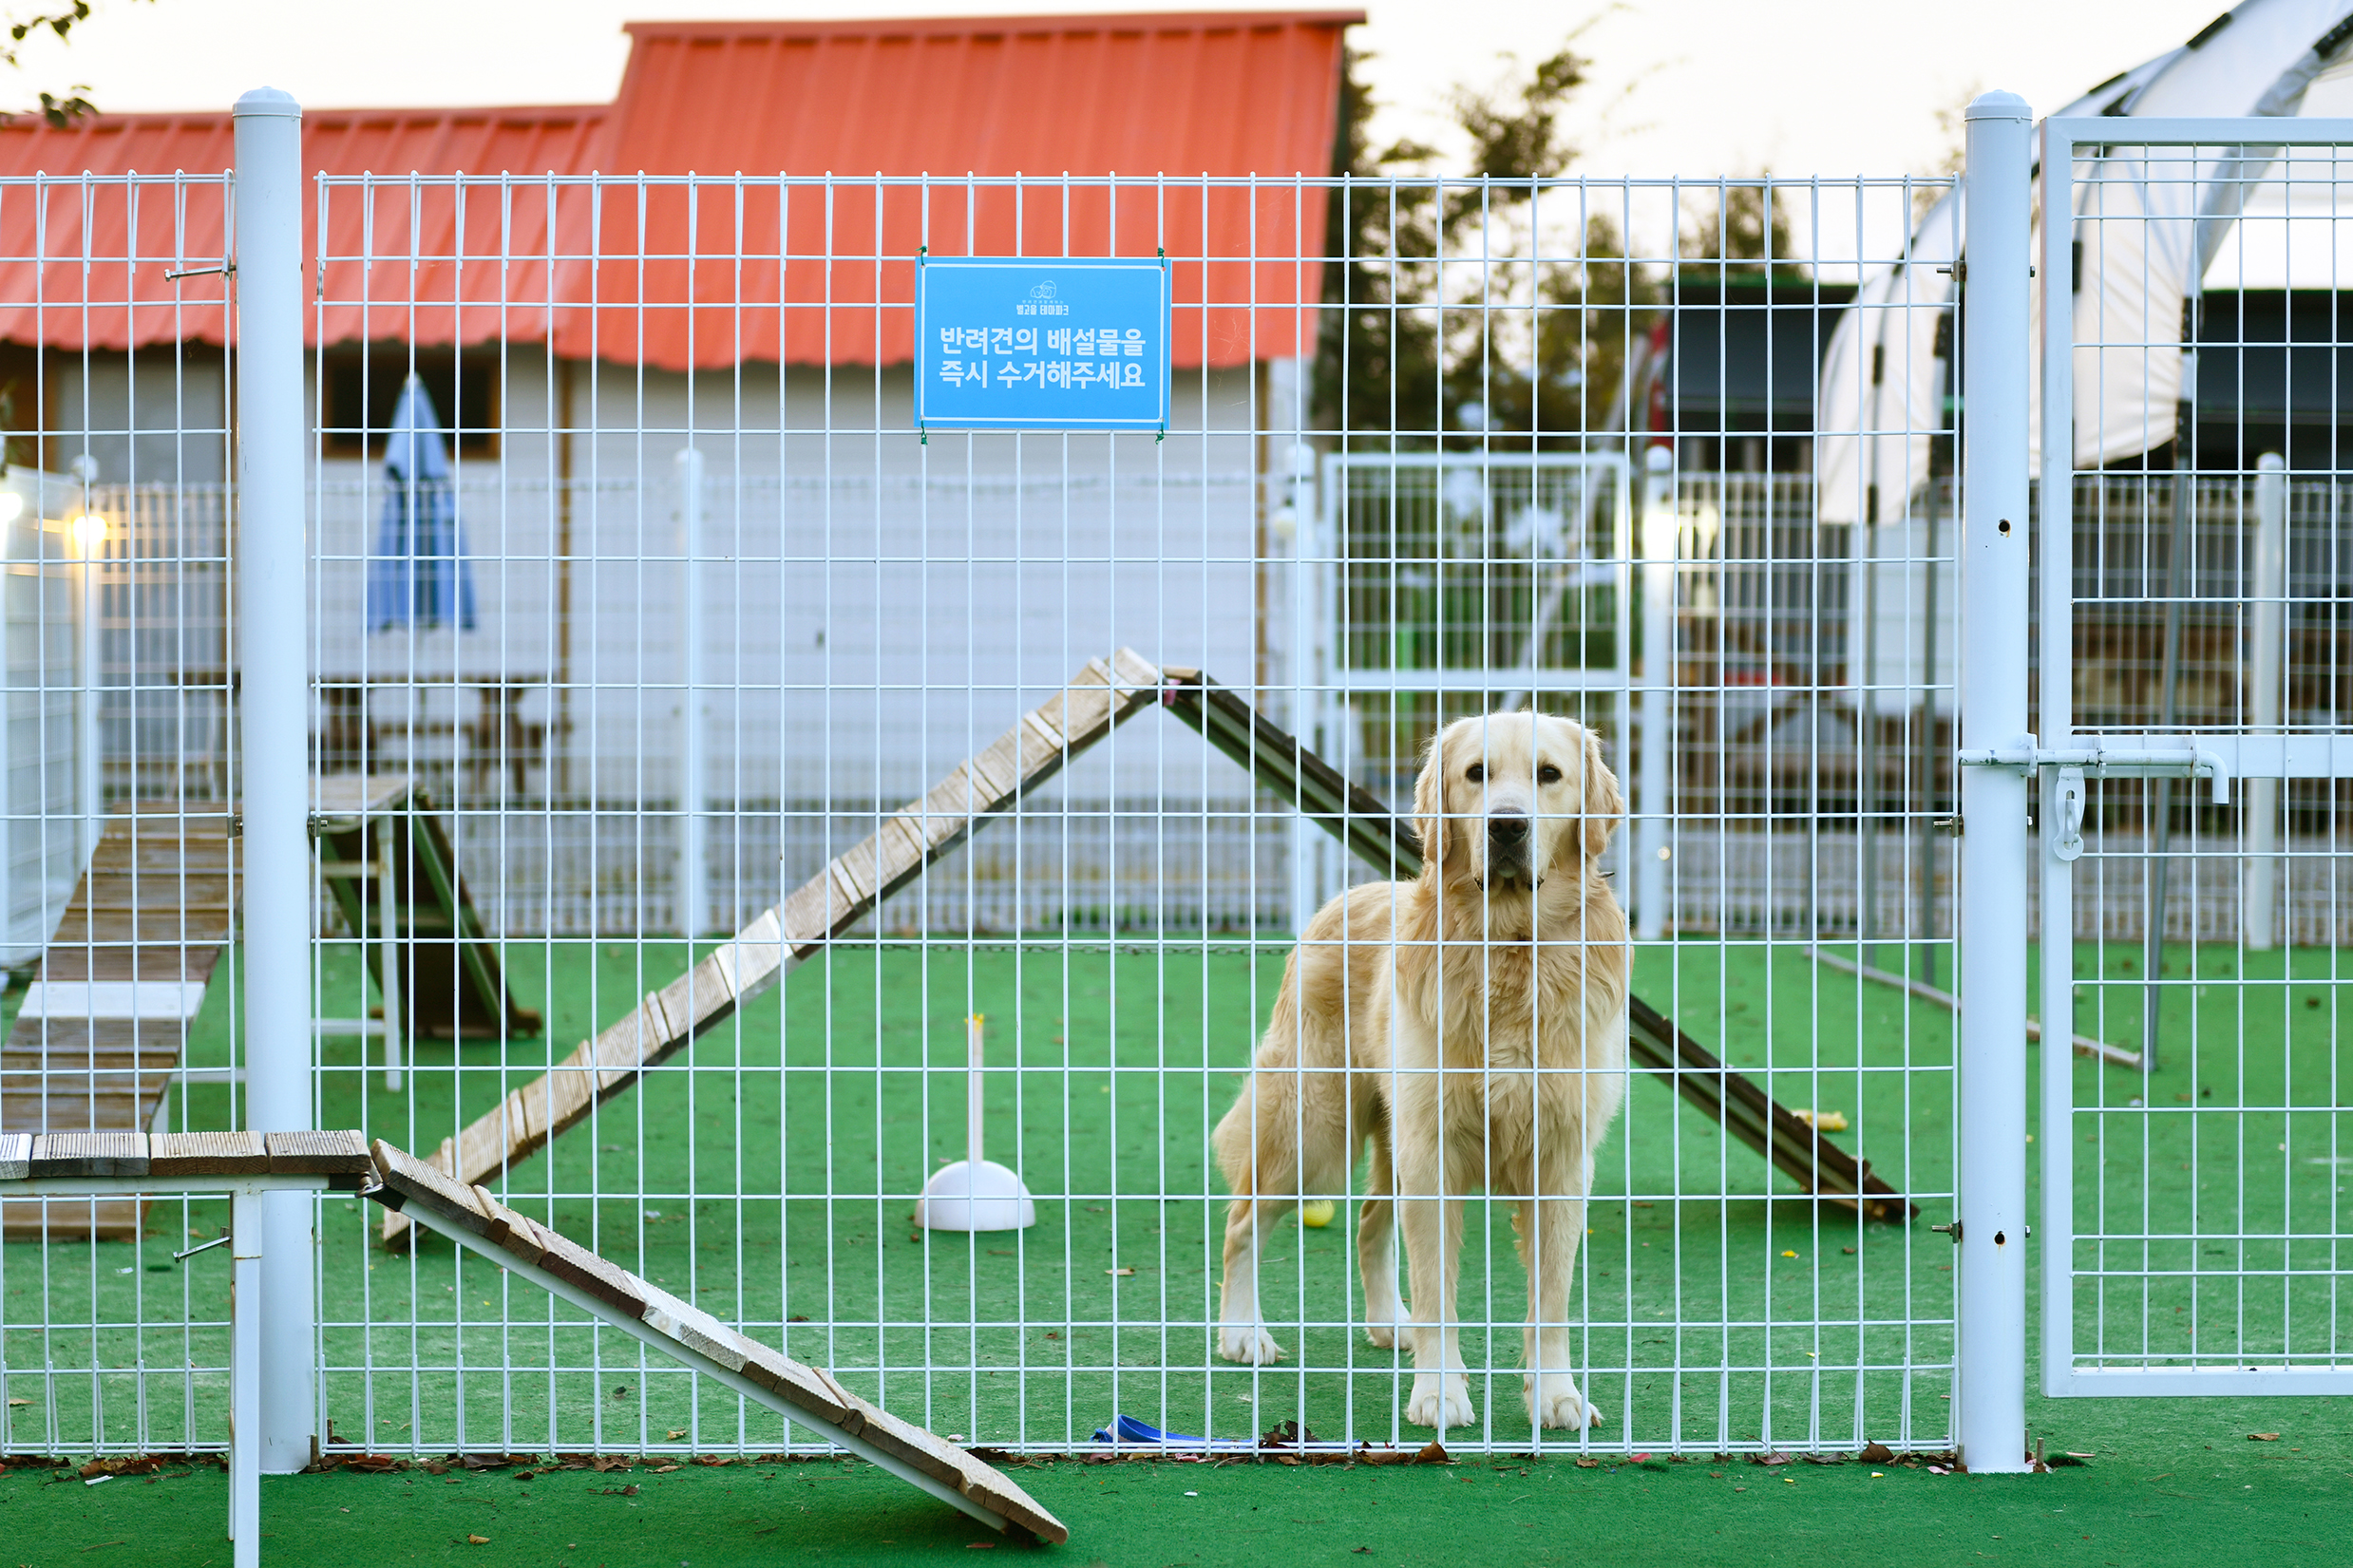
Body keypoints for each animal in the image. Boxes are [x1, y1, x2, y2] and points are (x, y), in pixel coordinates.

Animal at [1205, 709, 1628, 1438]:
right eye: (1476, 774)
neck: (1507, 948)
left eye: (1548, 774)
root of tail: (1344, 897)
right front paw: (1439, 1393)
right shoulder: (1434, 1154)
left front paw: (1554, 1395)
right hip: (1312, 1130)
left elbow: (1549, 1298)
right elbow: (1438, 1292)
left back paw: (1387, 1323)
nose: (1507, 827)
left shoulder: (1560, 1159)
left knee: (1369, 1219)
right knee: (1242, 1222)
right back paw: (1242, 1333)